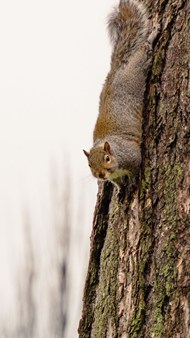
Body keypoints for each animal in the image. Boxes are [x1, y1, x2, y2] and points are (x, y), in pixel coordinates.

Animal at [83, 0, 159, 185]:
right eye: (89, 165)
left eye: (107, 158)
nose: (100, 175)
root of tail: (115, 72)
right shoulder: (113, 177)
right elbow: (117, 182)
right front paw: (119, 187)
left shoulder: (130, 154)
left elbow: (136, 165)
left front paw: (132, 182)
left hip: (135, 72)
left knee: (143, 51)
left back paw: (152, 35)